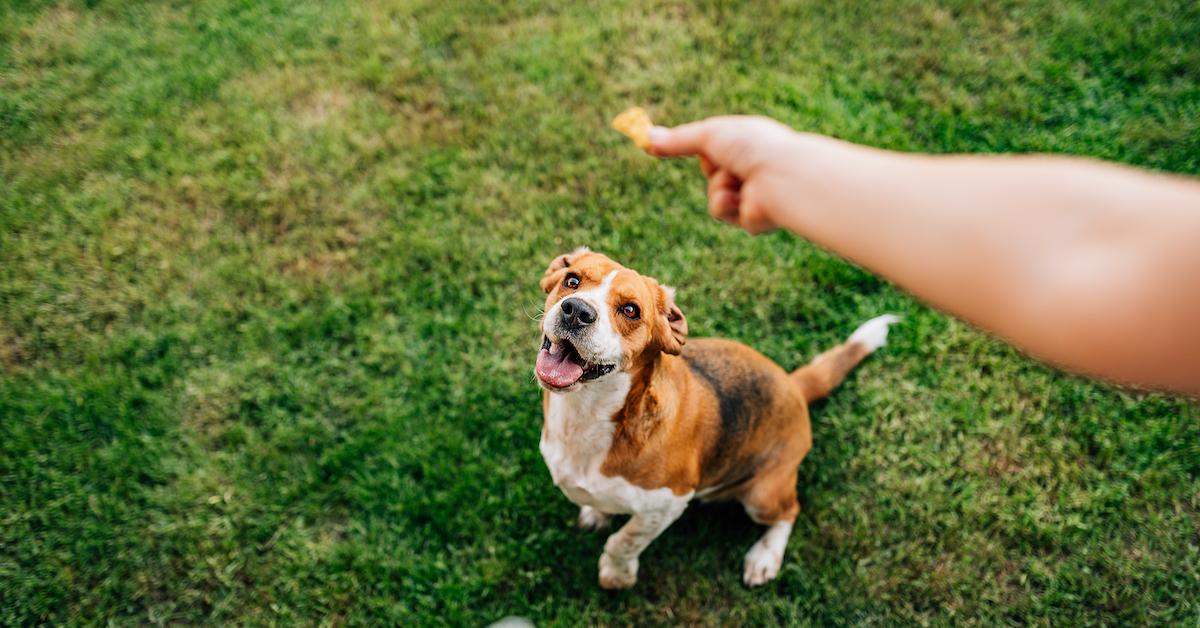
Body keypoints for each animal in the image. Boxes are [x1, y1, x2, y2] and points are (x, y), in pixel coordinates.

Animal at [535, 248, 902, 588]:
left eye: (630, 310)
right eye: (572, 281)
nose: (576, 311)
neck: (589, 414)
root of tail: (794, 384)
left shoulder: (668, 504)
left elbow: (623, 541)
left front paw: (617, 574)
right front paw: (597, 512)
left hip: (762, 495)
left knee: (790, 511)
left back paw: (765, 557)